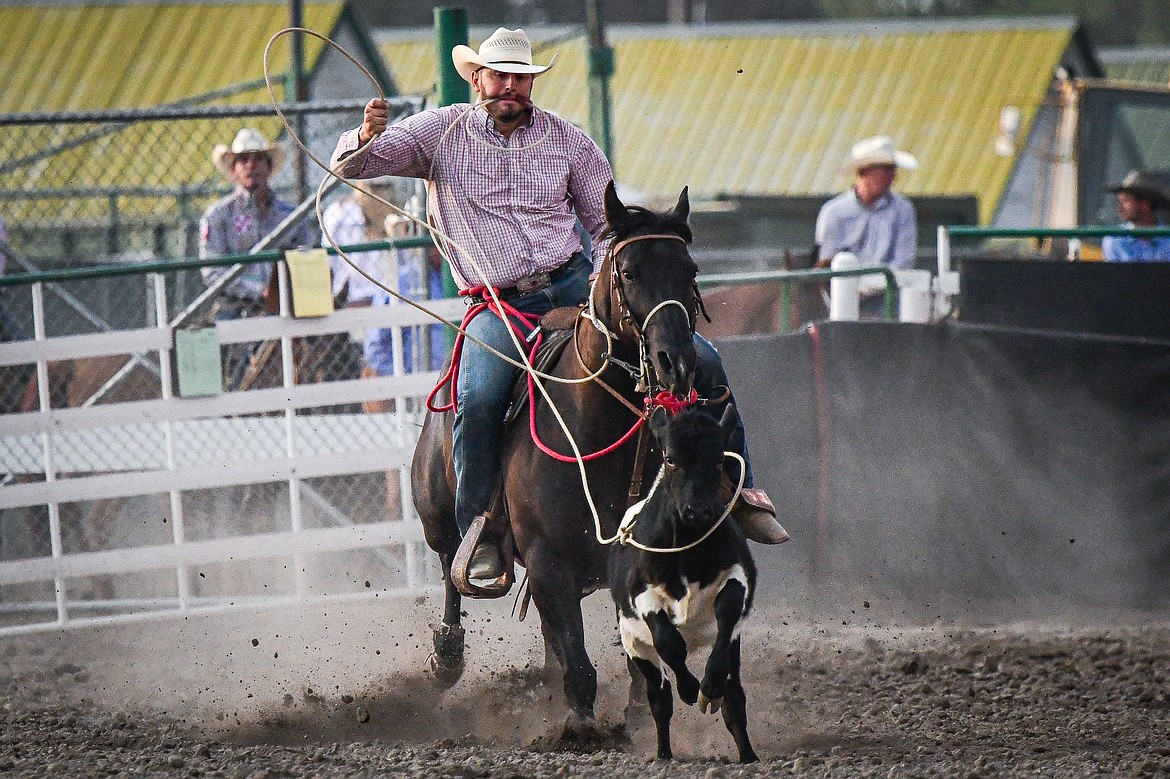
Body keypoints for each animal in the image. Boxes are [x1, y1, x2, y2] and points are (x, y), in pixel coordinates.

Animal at [411, 182, 702, 729]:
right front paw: (581, 728)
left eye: (690, 270)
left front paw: (636, 712)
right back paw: (447, 654)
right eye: (629, 272)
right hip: (437, 514)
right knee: (449, 566)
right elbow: (579, 663)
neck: (593, 430)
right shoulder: (549, 563)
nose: (675, 362)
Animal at [603, 402, 758, 762]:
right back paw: (663, 754)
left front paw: (709, 687)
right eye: (671, 458)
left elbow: (729, 608)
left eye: (718, 459)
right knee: (660, 699)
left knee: (734, 699)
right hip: (636, 646)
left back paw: (748, 755)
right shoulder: (641, 591)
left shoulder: (737, 573)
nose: (697, 511)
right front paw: (689, 688)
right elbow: (670, 642)